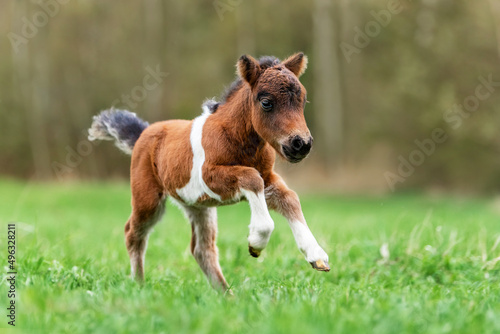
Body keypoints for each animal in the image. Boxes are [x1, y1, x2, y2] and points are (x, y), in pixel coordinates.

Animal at [89, 52, 332, 290]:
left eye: (303, 101)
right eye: (266, 103)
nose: (301, 144)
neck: (239, 140)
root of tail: (143, 132)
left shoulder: (268, 178)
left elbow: (290, 198)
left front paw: (316, 255)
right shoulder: (209, 177)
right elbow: (251, 178)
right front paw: (256, 243)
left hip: (197, 206)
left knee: (201, 249)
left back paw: (226, 294)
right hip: (148, 199)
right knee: (133, 233)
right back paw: (139, 285)